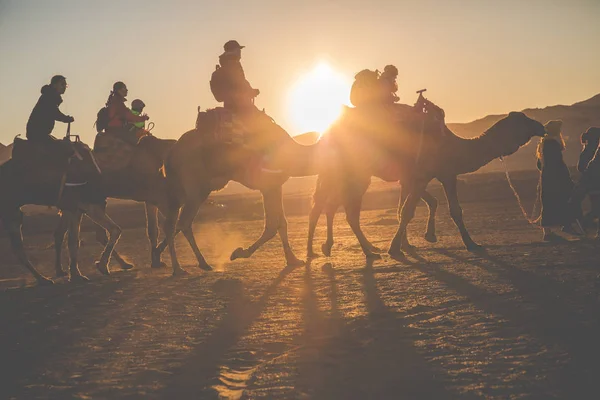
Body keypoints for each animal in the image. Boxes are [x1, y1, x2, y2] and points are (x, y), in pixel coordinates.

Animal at [162, 109, 326, 276]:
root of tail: (171, 153)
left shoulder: (276, 185)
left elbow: (282, 223)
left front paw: (293, 260)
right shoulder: (268, 185)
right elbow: (272, 226)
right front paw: (238, 253)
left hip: (184, 189)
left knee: (172, 223)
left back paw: (194, 264)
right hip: (195, 187)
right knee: (183, 223)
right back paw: (183, 267)